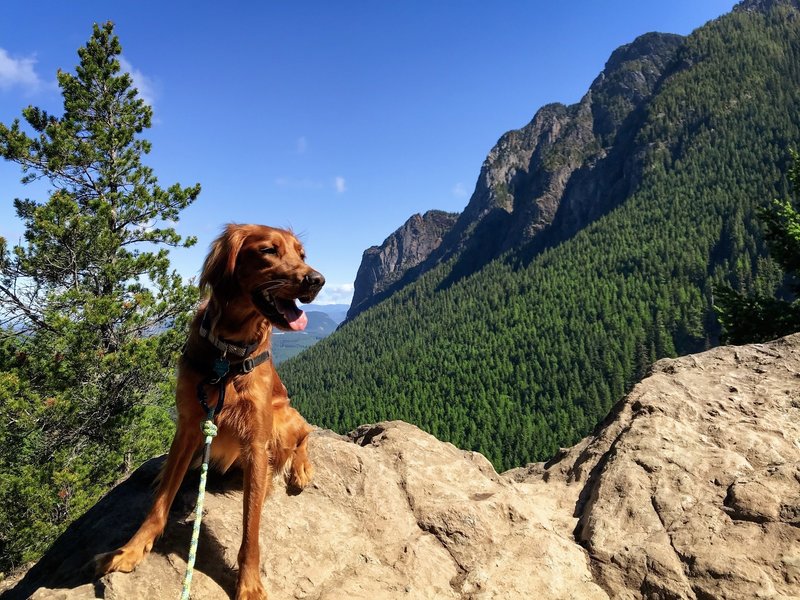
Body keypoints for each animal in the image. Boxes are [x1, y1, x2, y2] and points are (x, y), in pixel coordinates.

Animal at [96, 225, 324, 600]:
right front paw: (132, 549)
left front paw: (249, 583)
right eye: (269, 251)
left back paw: (301, 469)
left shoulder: (256, 443)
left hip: (282, 418)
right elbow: (159, 503)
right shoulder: (190, 425)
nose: (317, 280)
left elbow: (250, 529)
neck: (228, 353)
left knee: (305, 433)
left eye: (302, 255)